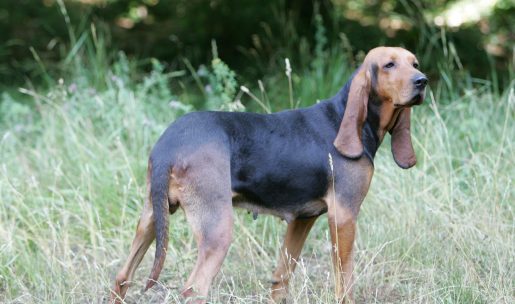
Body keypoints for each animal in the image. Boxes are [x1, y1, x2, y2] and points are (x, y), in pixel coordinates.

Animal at [112, 46, 428, 302]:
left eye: (414, 63)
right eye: (389, 65)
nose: (422, 81)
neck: (344, 119)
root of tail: (169, 144)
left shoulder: (302, 219)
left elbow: (281, 279)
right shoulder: (344, 216)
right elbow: (345, 284)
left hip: (151, 218)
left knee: (121, 278)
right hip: (217, 229)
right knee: (193, 290)